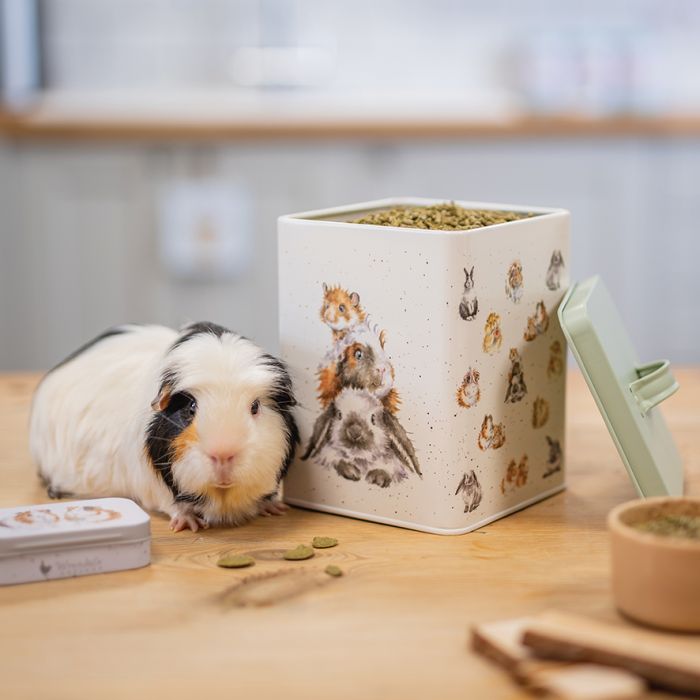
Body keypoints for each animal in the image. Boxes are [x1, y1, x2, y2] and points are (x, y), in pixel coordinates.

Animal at [29, 322, 299, 532]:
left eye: (255, 406)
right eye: (191, 407)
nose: (223, 455)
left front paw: (276, 507)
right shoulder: (152, 486)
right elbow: (172, 504)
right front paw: (189, 524)